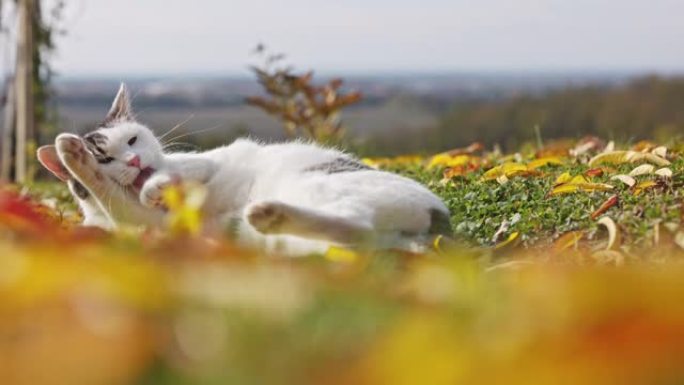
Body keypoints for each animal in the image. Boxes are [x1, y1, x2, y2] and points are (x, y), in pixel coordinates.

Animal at [38, 82, 454, 254]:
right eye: (108, 157)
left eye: (132, 141)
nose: (136, 161)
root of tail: (439, 226)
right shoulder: (142, 225)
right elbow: (109, 194)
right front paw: (77, 155)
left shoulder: (205, 163)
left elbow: (175, 174)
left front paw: (155, 184)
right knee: (355, 233)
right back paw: (268, 218)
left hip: (323, 188)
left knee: (357, 224)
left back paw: (267, 212)